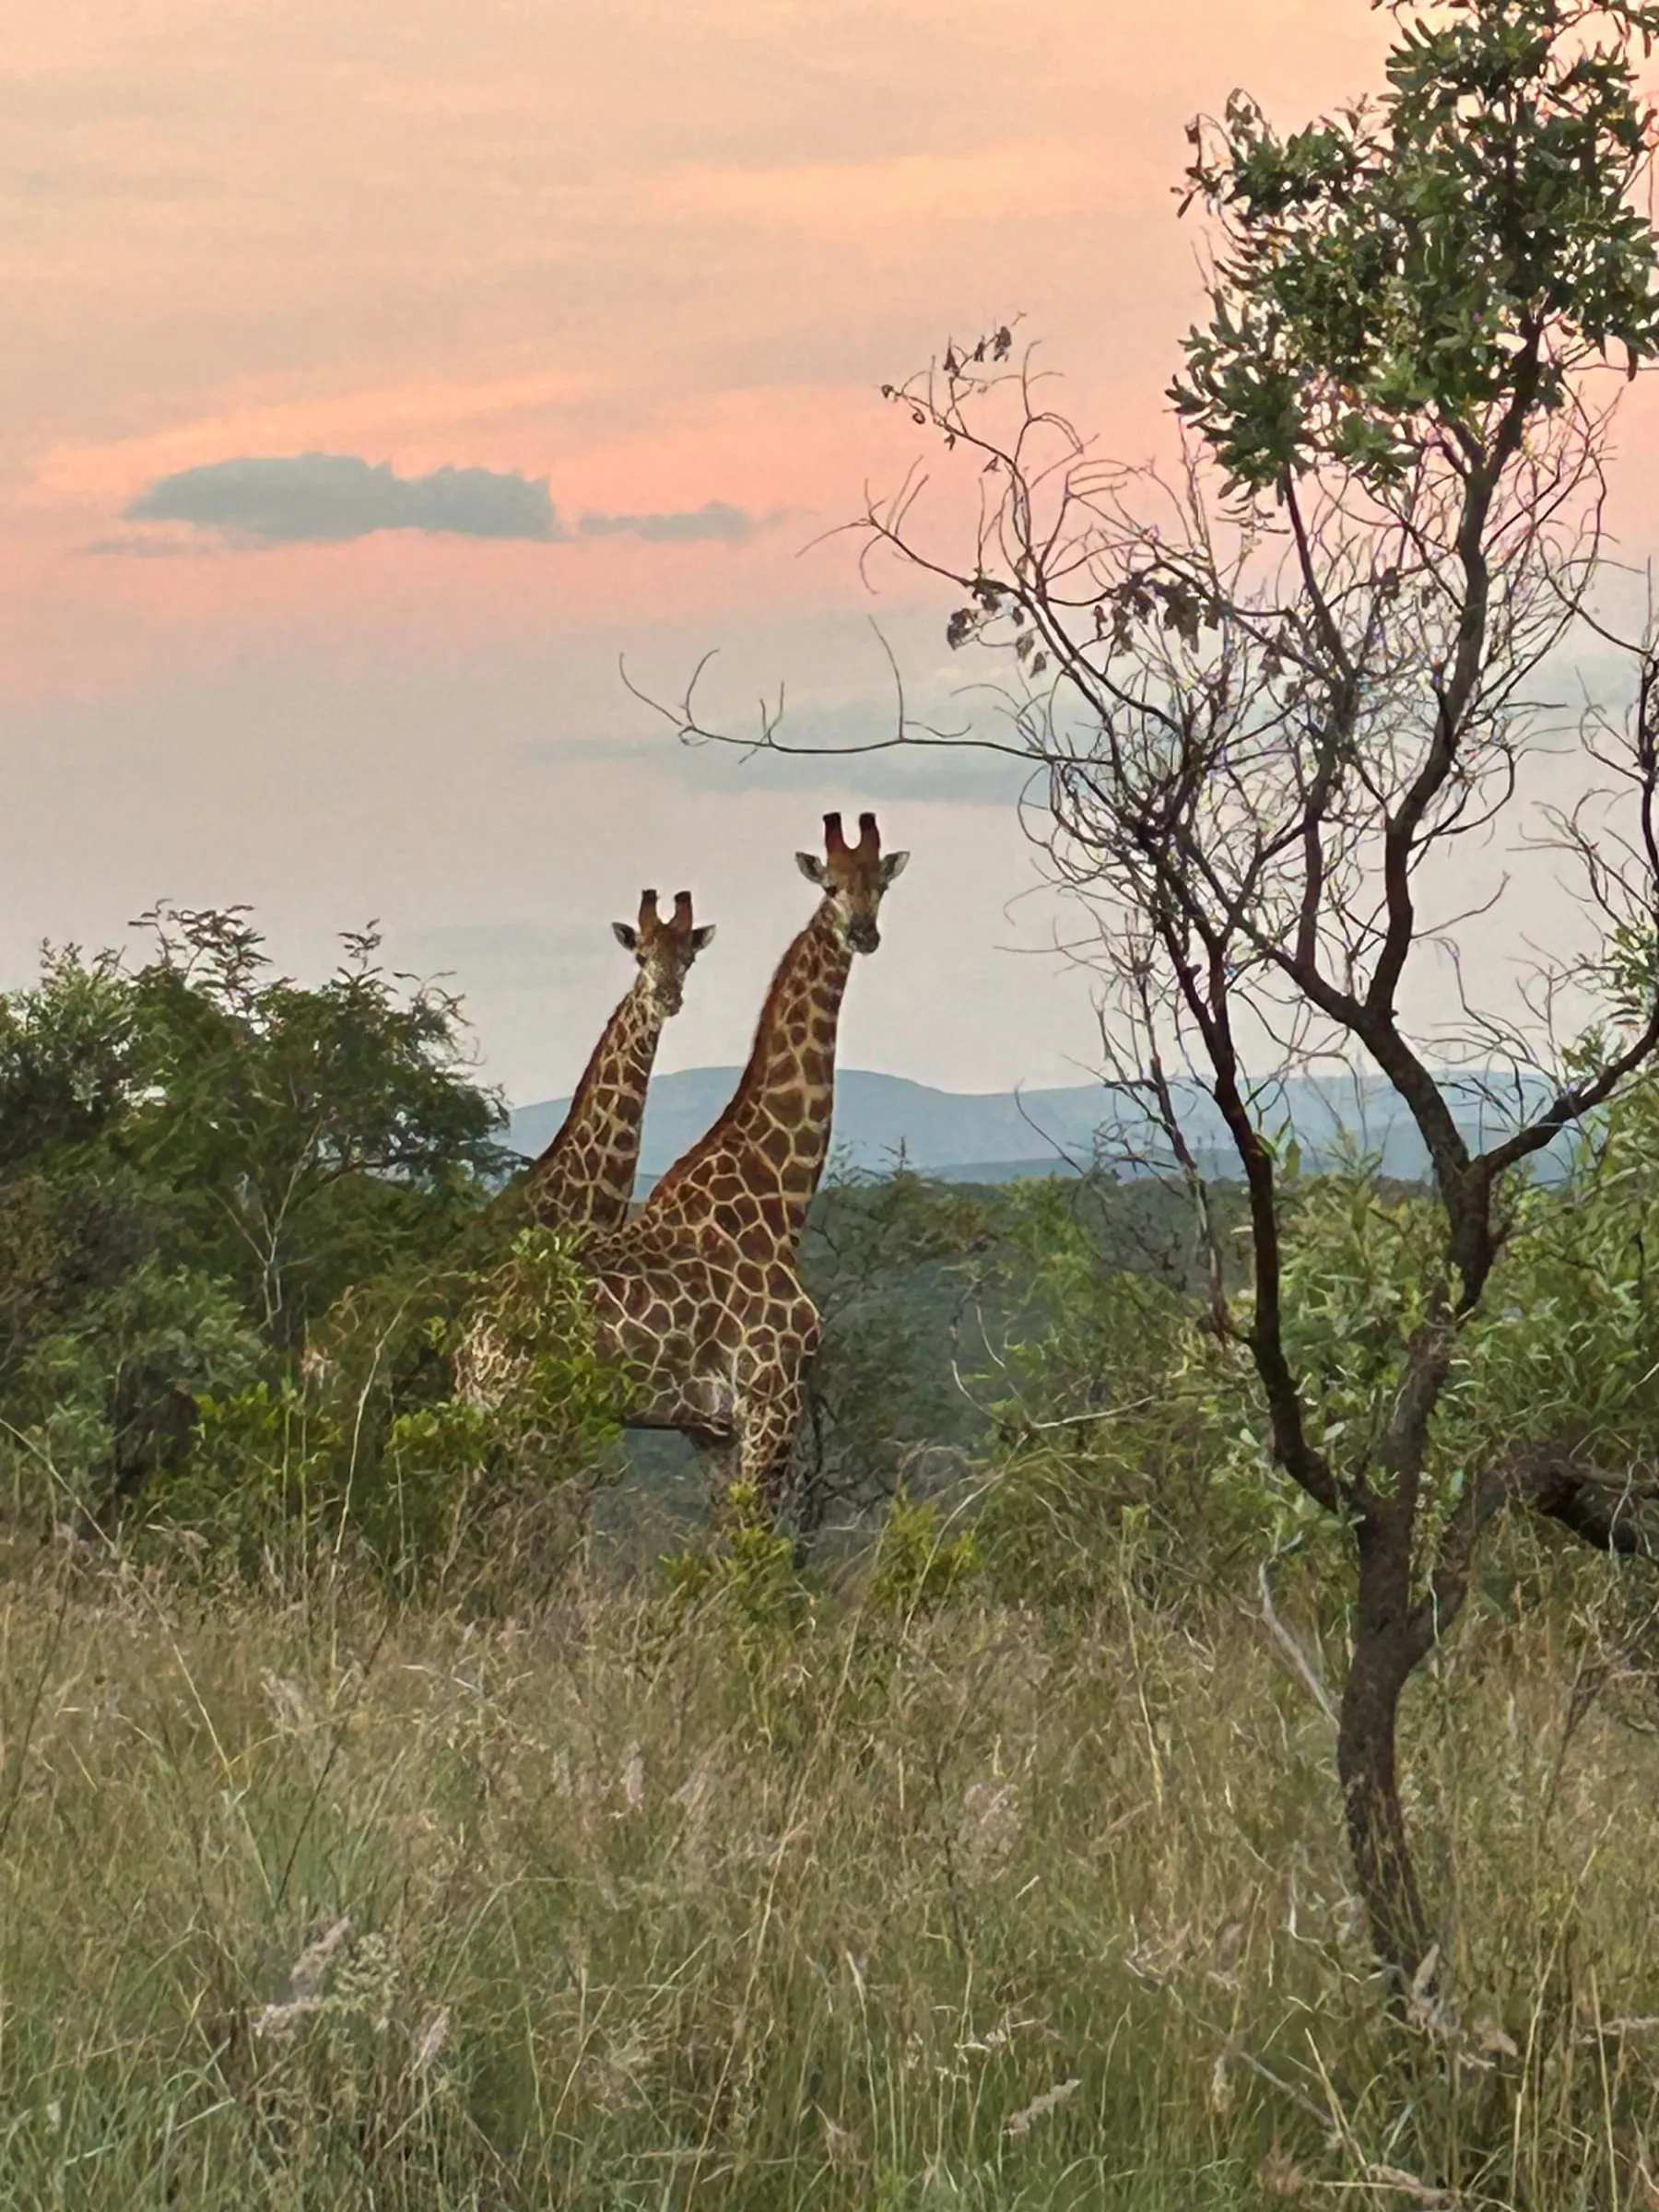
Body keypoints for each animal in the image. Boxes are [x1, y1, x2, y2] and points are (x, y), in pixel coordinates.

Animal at [578, 810, 909, 1514]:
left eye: (880, 885)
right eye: (831, 886)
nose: (863, 934)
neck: (777, 1187)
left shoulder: (710, 1427)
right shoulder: (770, 1396)